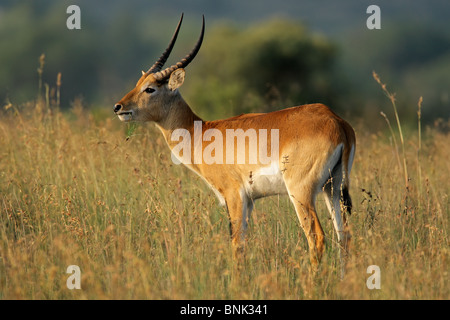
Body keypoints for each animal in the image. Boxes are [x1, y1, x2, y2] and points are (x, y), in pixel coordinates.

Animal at [114, 13, 356, 272]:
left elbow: (237, 245)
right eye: (138, 83)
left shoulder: (234, 195)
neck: (201, 133)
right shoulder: (249, 201)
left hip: (301, 192)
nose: (119, 107)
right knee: (344, 236)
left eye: (150, 89)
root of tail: (336, 121)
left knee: (317, 238)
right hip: (333, 188)